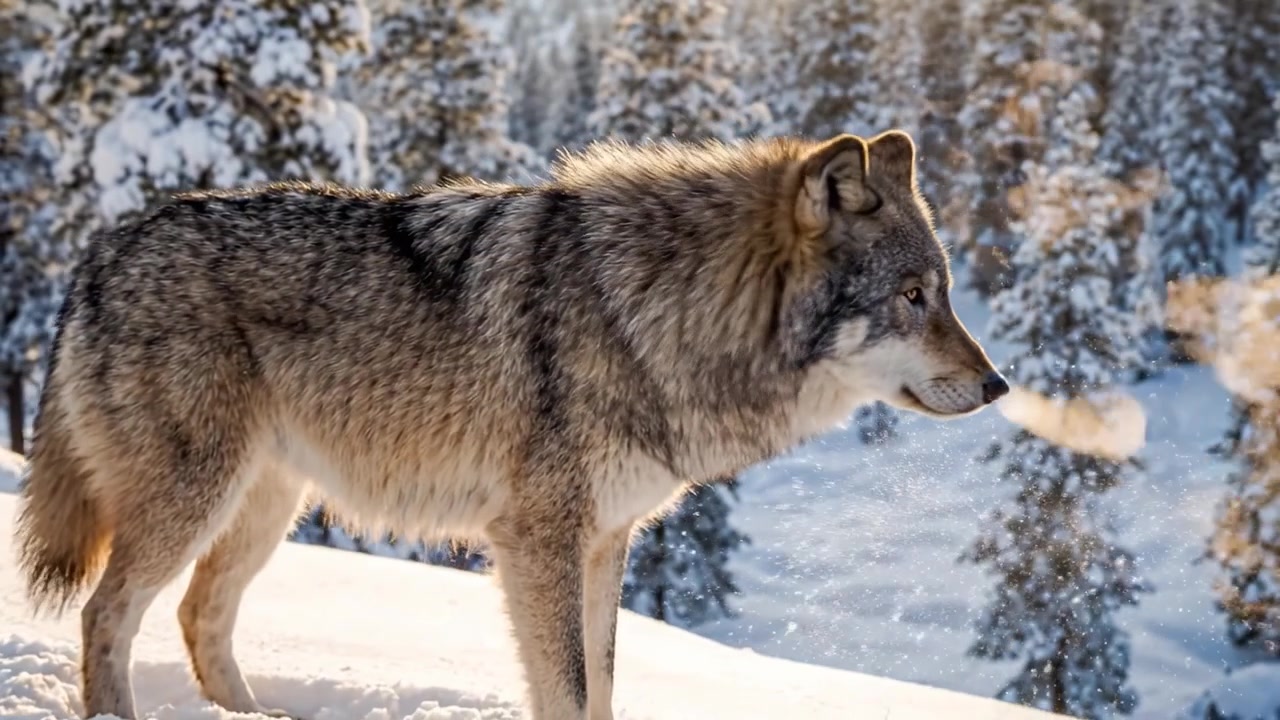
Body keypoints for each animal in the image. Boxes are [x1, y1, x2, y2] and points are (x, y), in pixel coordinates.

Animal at [13, 129, 1008, 720]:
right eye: (912, 297)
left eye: (944, 291)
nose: (998, 385)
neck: (654, 315)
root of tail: (101, 249)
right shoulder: (538, 539)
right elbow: (566, 689)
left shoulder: (606, 542)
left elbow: (603, 686)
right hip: (200, 498)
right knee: (108, 612)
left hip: (268, 505)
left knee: (197, 614)